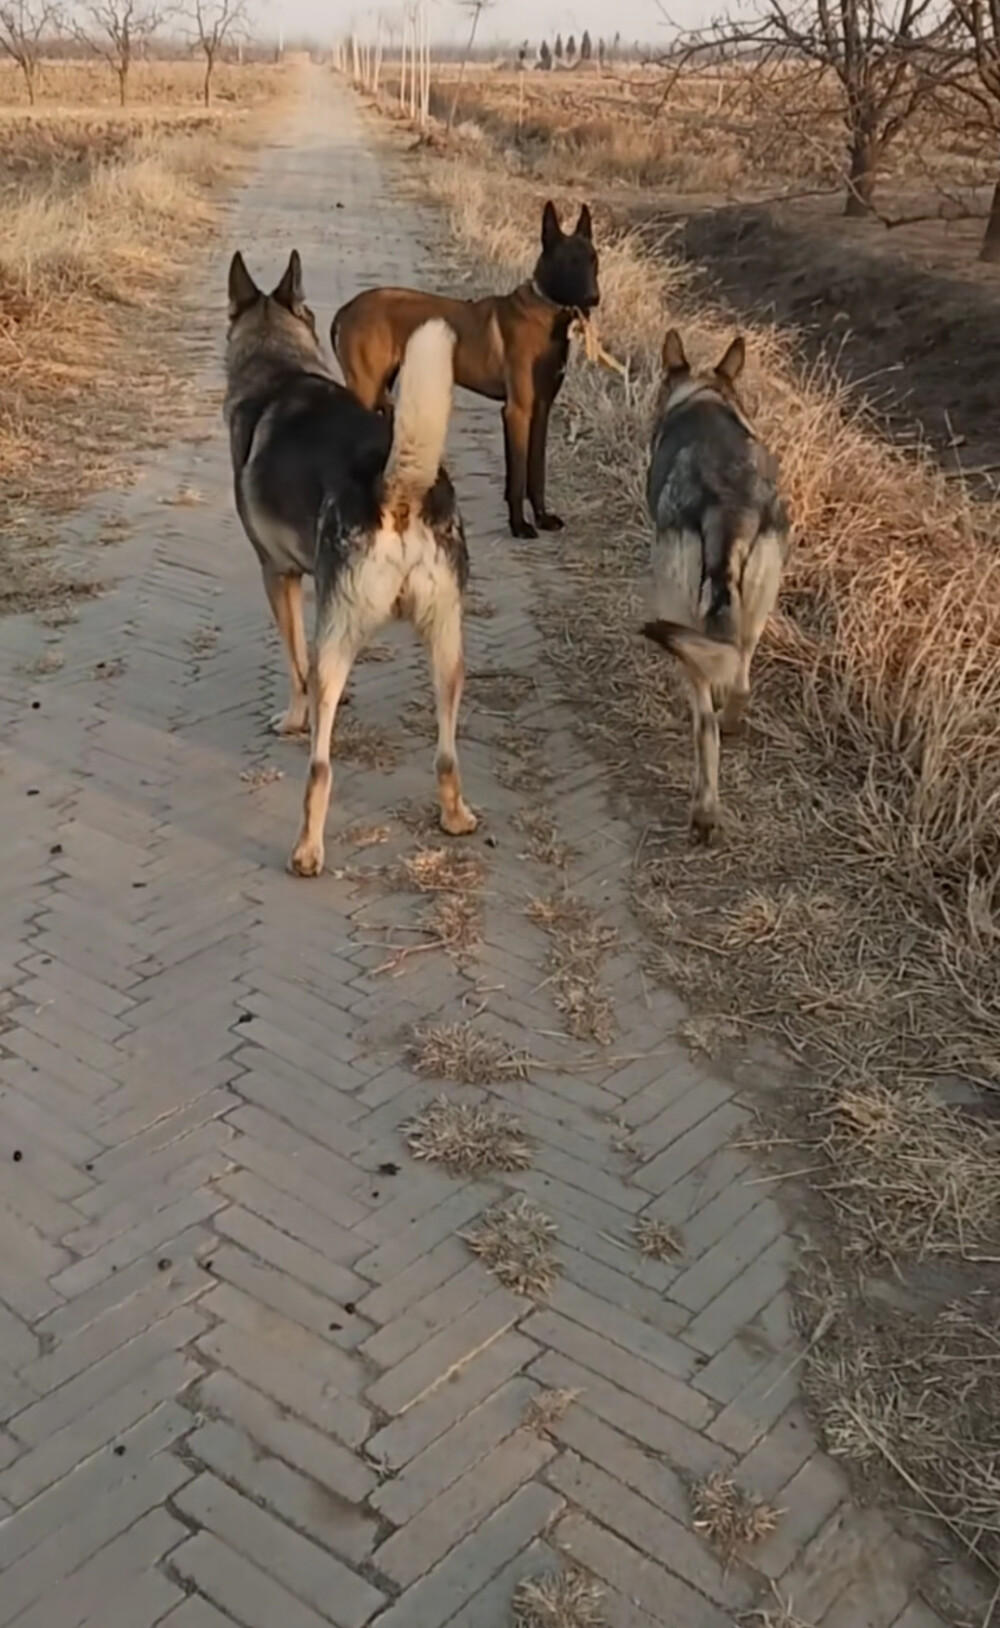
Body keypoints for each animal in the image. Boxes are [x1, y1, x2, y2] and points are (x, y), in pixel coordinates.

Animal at [228, 249, 478, 879]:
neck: (278, 369)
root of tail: (399, 491)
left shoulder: (278, 577)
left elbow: (295, 666)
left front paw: (294, 719)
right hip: (448, 650)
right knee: (445, 756)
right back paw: (455, 817)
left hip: (338, 643)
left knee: (320, 769)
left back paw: (307, 851)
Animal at [335, 198, 602, 540]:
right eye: (570, 262)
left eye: (593, 260)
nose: (594, 297)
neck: (546, 311)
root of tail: (346, 309)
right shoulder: (517, 410)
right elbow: (518, 476)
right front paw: (519, 524)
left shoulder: (541, 409)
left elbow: (537, 473)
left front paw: (542, 517)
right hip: (365, 388)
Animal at [648, 325, 794, 846]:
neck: (706, 395)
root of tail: (728, 510)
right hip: (753, 613)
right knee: (741, 682)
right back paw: (734, 722)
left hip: (680, 616)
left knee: (704, 722)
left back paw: (704, 812)